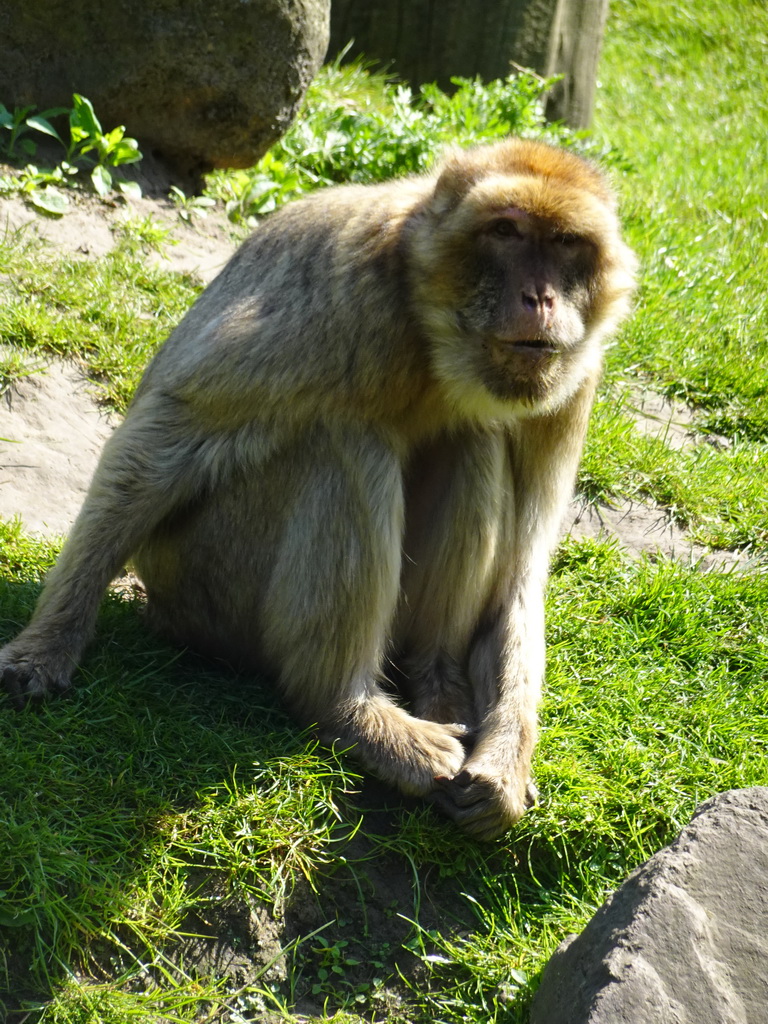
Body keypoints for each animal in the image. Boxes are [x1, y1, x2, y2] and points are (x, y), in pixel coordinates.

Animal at [0, 138, 638, 839]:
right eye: (506, 232)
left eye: (566, 244)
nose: (539, 297)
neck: (435, 339)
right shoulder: (345, 293)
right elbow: (164, 438)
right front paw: (45, 647)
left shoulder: (573, 379)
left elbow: (522, 572)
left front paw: (505, 761)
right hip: (204, 578)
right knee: (345, 441)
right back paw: (345, 708)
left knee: (475, 440)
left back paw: (437, 681)